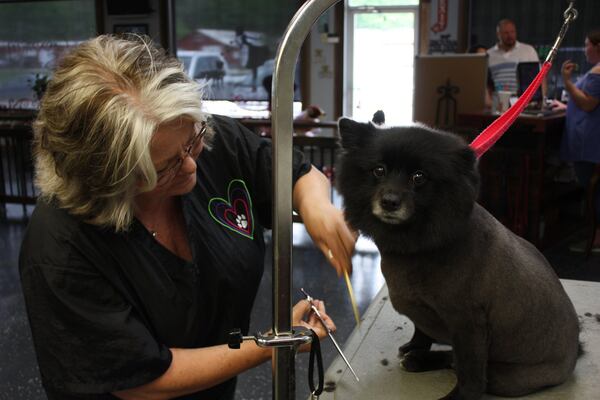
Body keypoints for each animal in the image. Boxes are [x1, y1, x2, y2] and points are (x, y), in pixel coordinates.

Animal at [336, 119, 580, 400]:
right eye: (378, 170)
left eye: (419, 176)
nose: (389, 202)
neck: (422, 244)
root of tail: (575, 351)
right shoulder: (423, 310)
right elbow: (422, 330)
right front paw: (416, 347)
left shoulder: (468, 325)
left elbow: (471, 375)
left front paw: (458, 395)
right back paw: (419, 359)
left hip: (507, 378)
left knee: (468, 367)